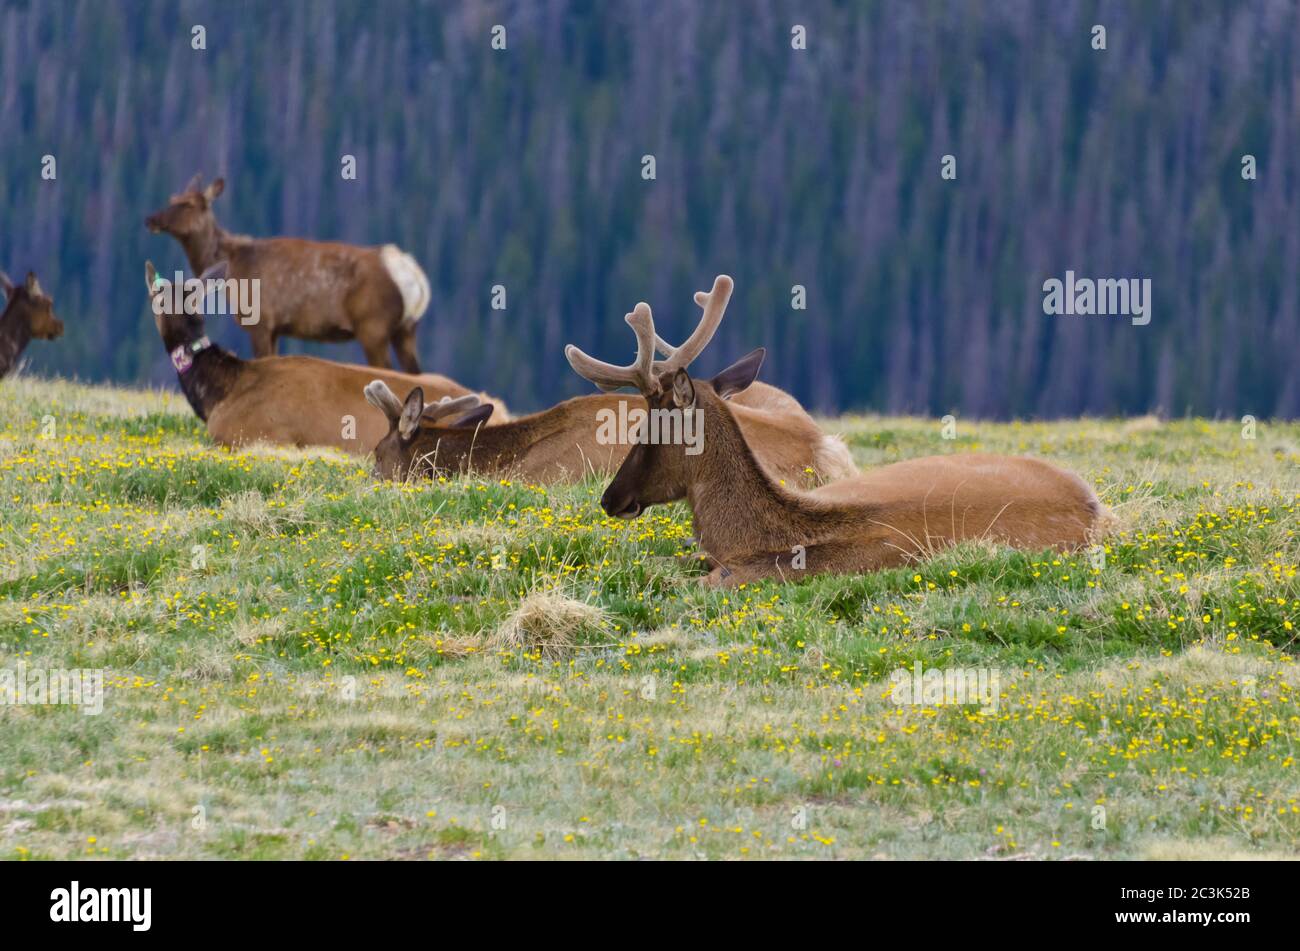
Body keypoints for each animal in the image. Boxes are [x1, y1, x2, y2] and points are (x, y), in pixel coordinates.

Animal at [145, 173, 431, 371]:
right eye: (172, 199)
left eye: (189, 204)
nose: (151, 219)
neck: (234, 268)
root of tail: (415, 277)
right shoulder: (276, 328)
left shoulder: (260, 321)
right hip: (406, 328)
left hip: (373, 325)